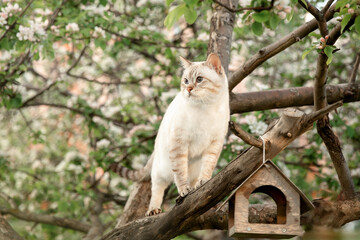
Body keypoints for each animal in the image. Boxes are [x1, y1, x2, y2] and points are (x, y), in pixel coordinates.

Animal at [112, 53, 231, 216]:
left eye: (199, 79)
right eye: (186, 81)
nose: (188, 88)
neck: (206, 108)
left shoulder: (215, 143)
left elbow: (208, 167)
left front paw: (203, 182)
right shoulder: (179, 143)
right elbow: (180, 173)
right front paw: (184, 190)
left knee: (191, 178)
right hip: (160, 169)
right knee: (157, 188)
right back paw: (153, 210)